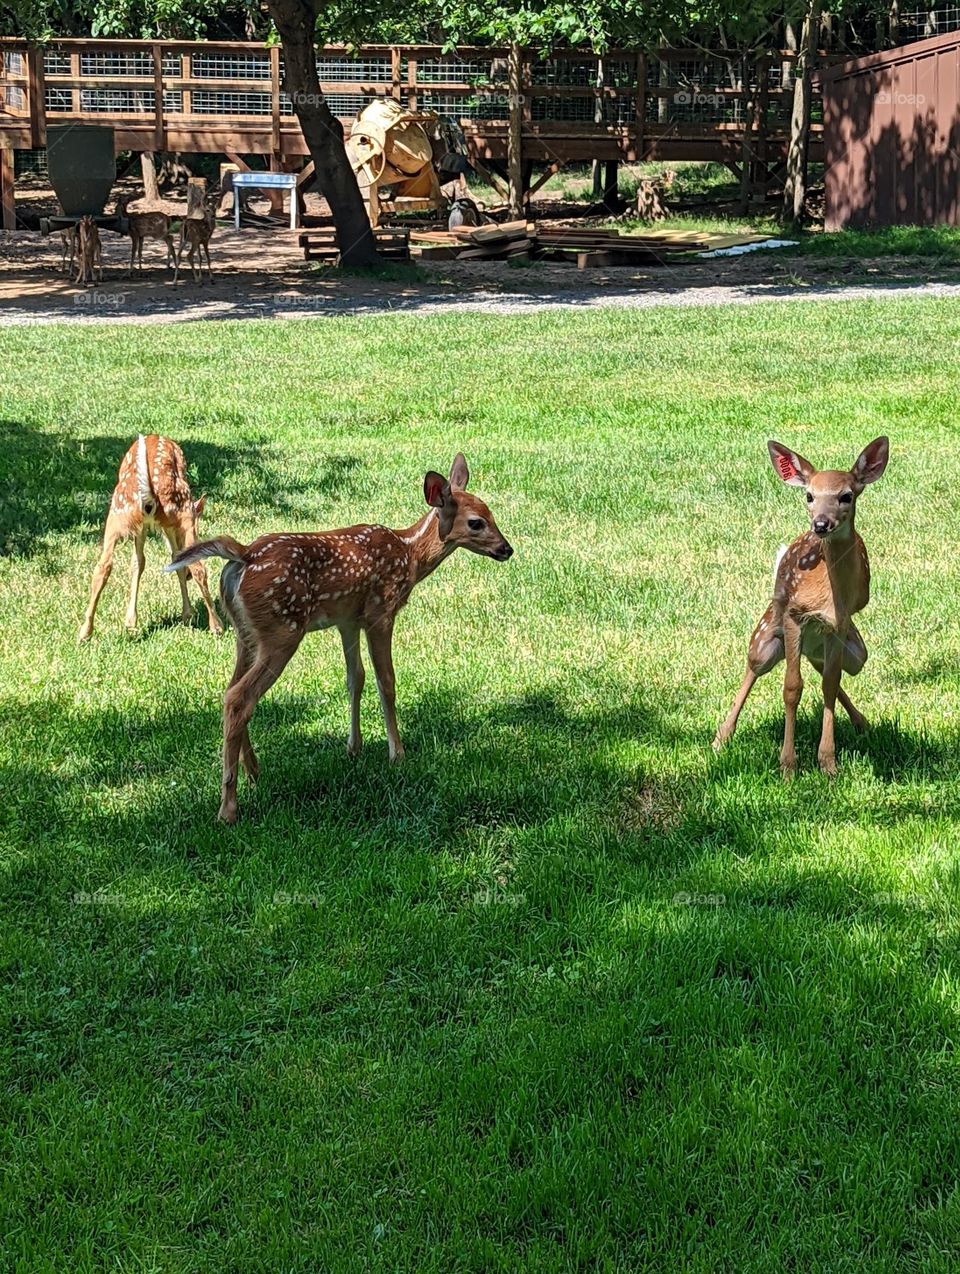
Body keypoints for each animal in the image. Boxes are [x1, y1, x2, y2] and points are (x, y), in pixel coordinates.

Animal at [77, 435, 224, 642]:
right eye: (199, 526)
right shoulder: (173, 525)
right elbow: (175, 558)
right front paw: (187, 614)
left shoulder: (147, 525)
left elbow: (140, 562)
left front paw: (130, 621)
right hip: (182, 510)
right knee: (198, 567)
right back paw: (216, 625)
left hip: (117, 515)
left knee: (102, 566)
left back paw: (85, 632)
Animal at [171, 453, 516, 820]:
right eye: (476, 522)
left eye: (491, 512)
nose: (506, 549)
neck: (409, 555)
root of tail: (244, 553)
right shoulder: (381, 611)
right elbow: (385, 680)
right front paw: (397, 754)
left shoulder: (348, 620)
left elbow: (355, 678)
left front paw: (354, 748)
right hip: (282, 631)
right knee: (239, 698)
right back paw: (228, 807)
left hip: (247, 633)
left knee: (229, 691)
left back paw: (254, 771)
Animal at [712, 438, 891, 774]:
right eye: (809, 495)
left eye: (846, 496)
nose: (820, 524)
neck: (830, 596)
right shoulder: (795, 616)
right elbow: (792, 688)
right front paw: (788, 766)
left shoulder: (840, 624)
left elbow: (830, 685)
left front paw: (828, 763)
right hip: (768, 635)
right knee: (753, 666)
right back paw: (721, 737)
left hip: (853, 653)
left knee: (823, 667)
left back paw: (862, 723)